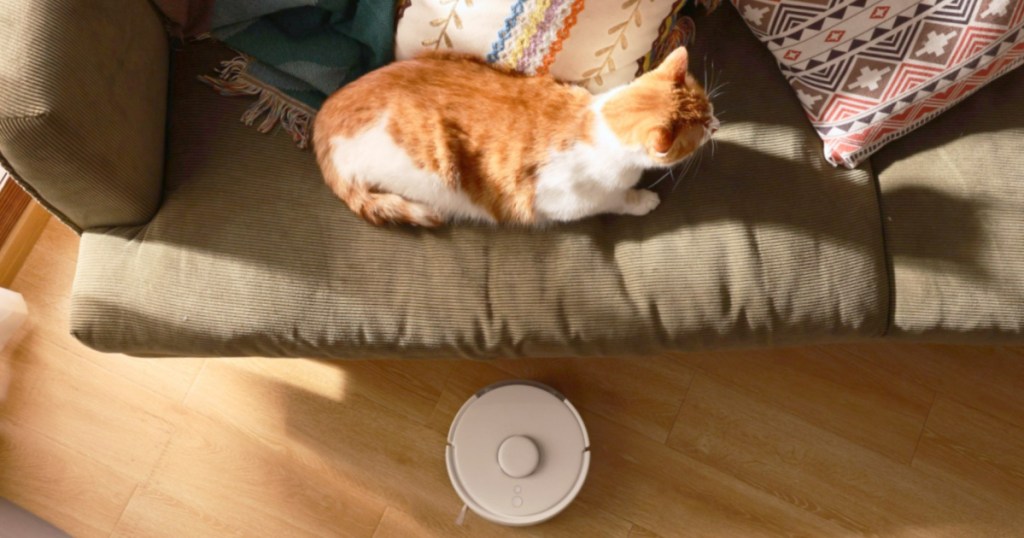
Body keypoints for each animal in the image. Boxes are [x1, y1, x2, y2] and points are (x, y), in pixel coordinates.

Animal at [313, 46, 720, 228]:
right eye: (700, 129)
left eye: (709, 108)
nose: (716, 125)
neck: (592, 121)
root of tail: (322, 119)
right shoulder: (562, 201)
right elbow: (615, 200)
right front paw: (641, 200)